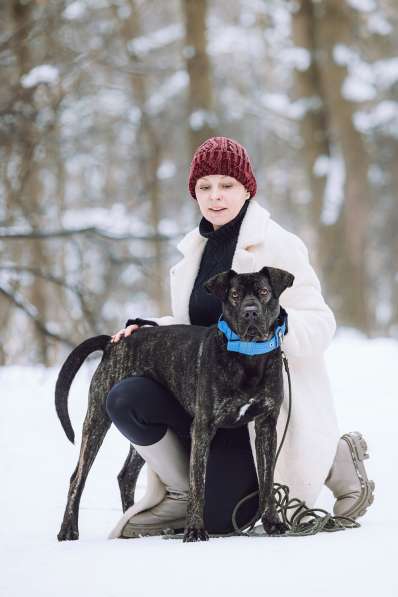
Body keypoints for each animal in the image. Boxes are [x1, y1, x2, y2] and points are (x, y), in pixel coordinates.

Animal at [55, 266, 292, 540]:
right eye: (234, 295)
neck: (248, 354)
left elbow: (267, 480)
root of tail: (113, 342)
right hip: (97, 418)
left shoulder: (266, 426)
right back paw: (68, 529)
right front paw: (195, 530)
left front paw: (273, 522)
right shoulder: (203, 427)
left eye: (263, 292)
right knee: (77, 478)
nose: (250, 311)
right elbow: (198, 483)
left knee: (126, 475)